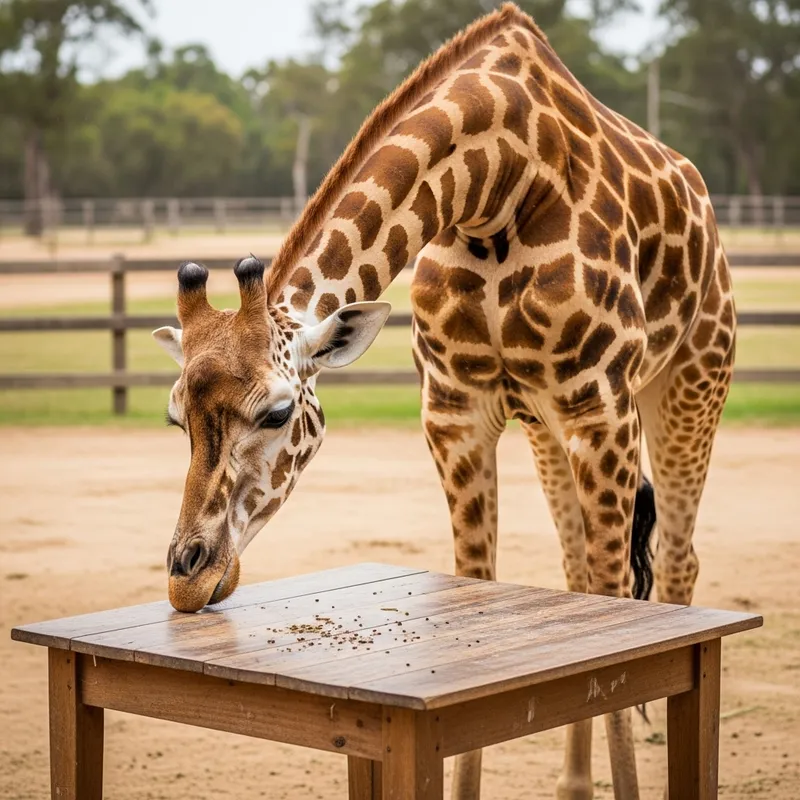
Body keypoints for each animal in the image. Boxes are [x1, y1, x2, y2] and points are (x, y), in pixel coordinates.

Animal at [152, 4, 736, 798]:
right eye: (175, 414)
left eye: (276, 413)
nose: (189, 578)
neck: (495, 188)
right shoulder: (457, 416)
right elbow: (478, 596)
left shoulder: (601, 410)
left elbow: (618, 610)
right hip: (546, 427)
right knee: (578, 573)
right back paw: (572, 781)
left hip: (689, 384)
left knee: (674, 563)